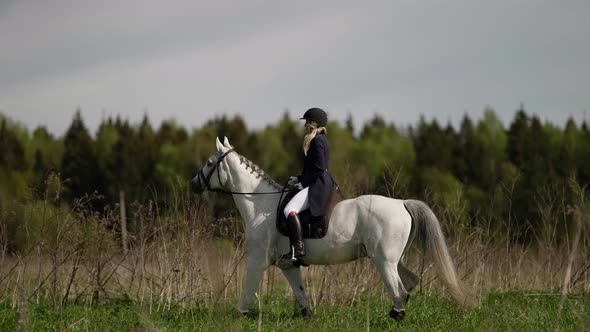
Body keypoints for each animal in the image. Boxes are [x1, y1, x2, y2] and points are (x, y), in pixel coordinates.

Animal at [192, 137, 474, 320]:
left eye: (209, 162)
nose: (193, 184)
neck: (261, 206)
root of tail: (402, 203)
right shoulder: (287, 265)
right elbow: (301, 293)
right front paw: (308, 317)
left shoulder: (256, 260)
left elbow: (247, 292)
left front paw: (239, 317)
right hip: (396, 259)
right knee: (410, 282)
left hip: (383, 260)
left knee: (399, 289)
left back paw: (395, 316)